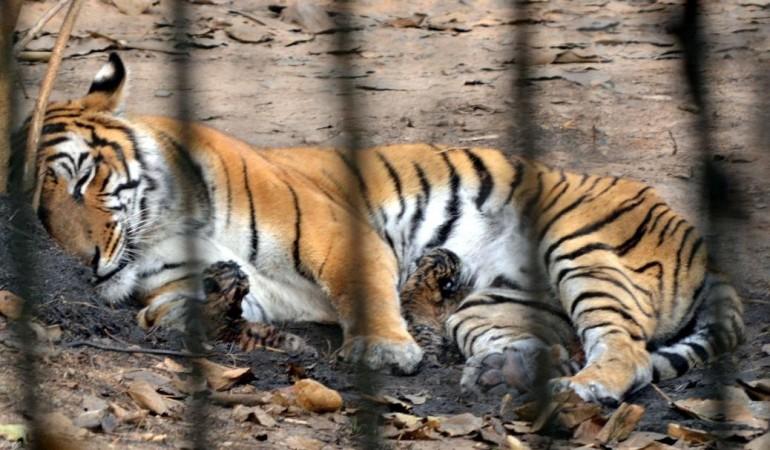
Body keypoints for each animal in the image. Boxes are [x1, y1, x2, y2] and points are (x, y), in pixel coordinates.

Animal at [27, 53, 740, 404]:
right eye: (37, 211)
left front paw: (381, 349)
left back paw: (586, 387)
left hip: (582, 244)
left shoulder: (332, 227)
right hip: (491, 303)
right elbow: (175, 310)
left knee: (630, 352)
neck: (159, 225)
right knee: (552, 339)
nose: (83, 263)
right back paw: (504, 374)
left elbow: (363, 286)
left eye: (83, 179)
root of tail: (703, 247)